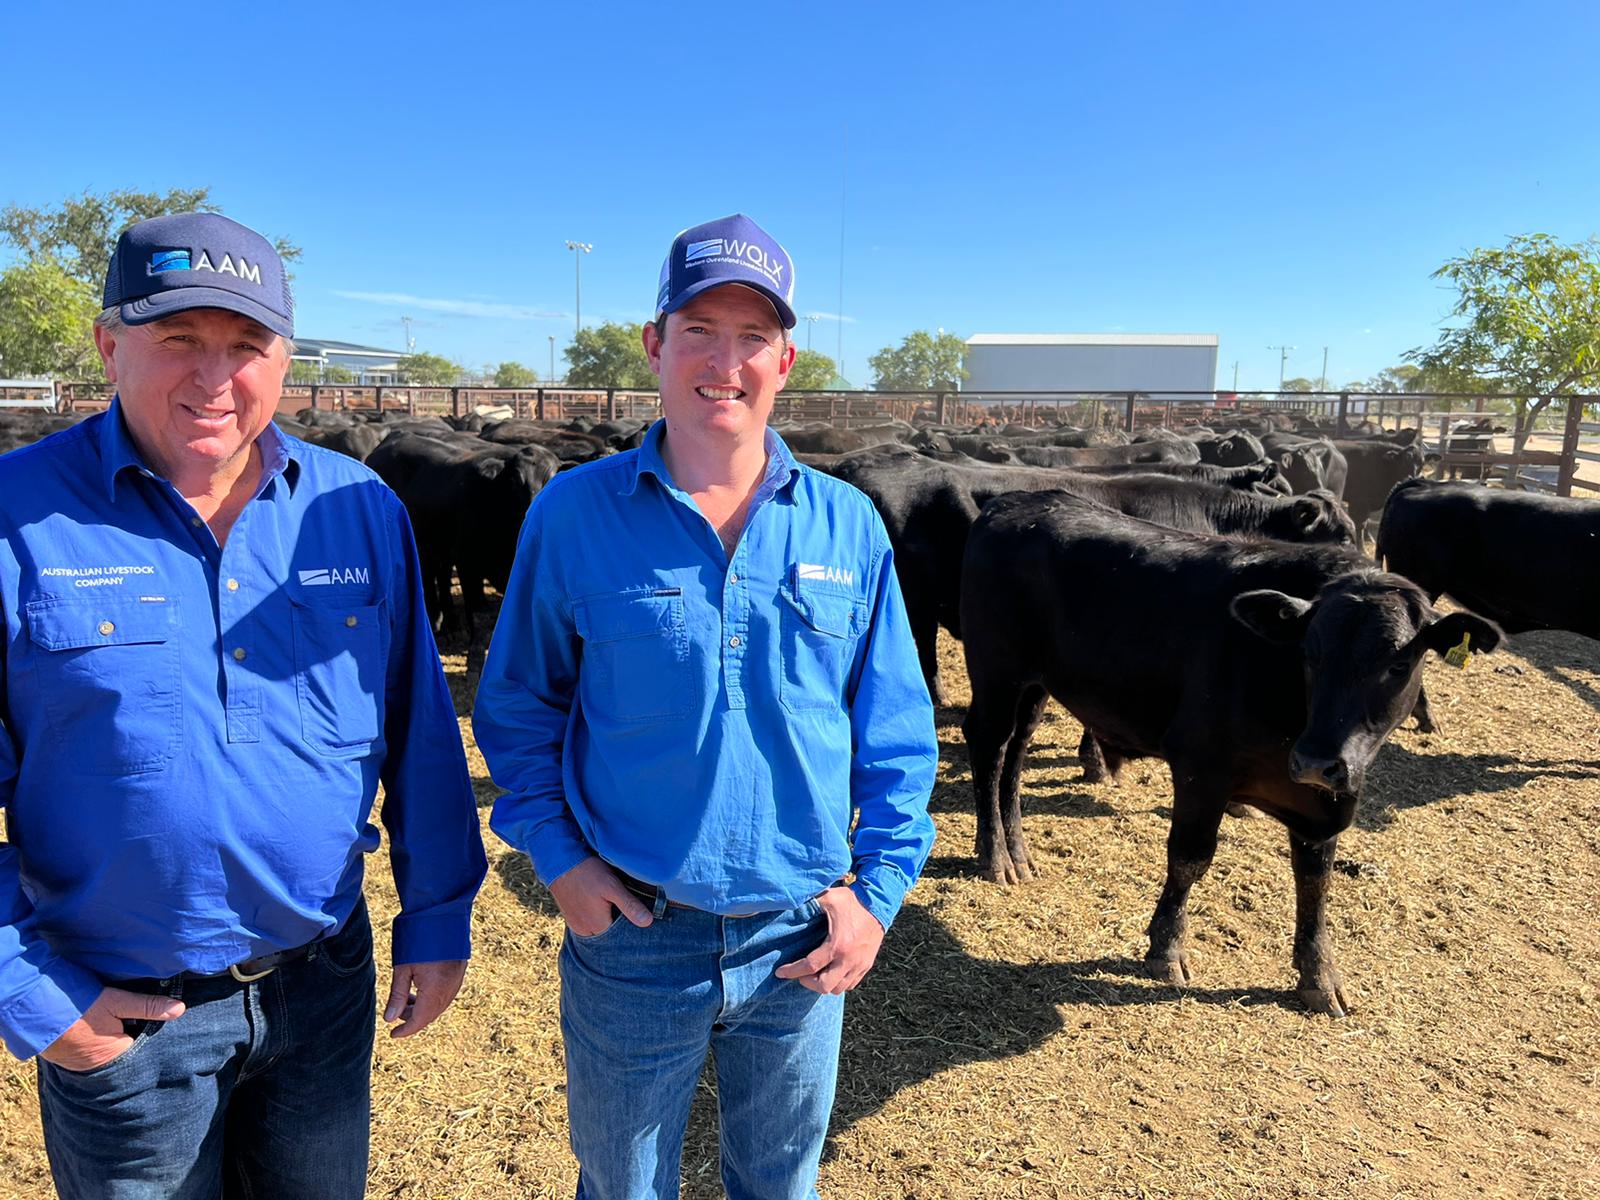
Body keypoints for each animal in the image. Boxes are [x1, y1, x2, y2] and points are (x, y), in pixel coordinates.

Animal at [960, 492, 1497, 1017]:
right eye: (1309, 653)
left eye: (1399, 664)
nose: (1316, 763)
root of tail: (1015, 502)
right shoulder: (1201, 766)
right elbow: (1190, 857)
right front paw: (1166, 950)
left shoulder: (1328, 801)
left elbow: (1316, 881)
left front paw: (1320, 977)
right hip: (997, 671)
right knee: (990, 746)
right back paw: (995, 855)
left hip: (1035, 684)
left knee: (1016, 752)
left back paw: (1018, 850)